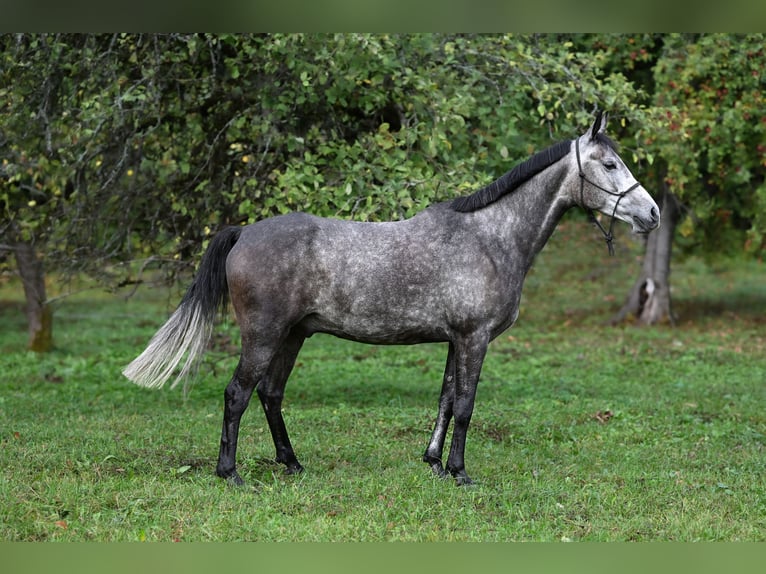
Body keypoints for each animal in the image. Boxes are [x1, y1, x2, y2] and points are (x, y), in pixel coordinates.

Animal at [124, 111, 660, 486]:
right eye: (609, 164)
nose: (652, 213)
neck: (490, 237)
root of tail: (243, 232)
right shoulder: (474, 338)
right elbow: (466, 404)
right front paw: (461, 473)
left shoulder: (455, 340)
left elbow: (445, 400)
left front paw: (435, 464)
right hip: (264, 335)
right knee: (238, 394)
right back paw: (230, 473)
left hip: (293, 336)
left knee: (270, 395)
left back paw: (292, 464)